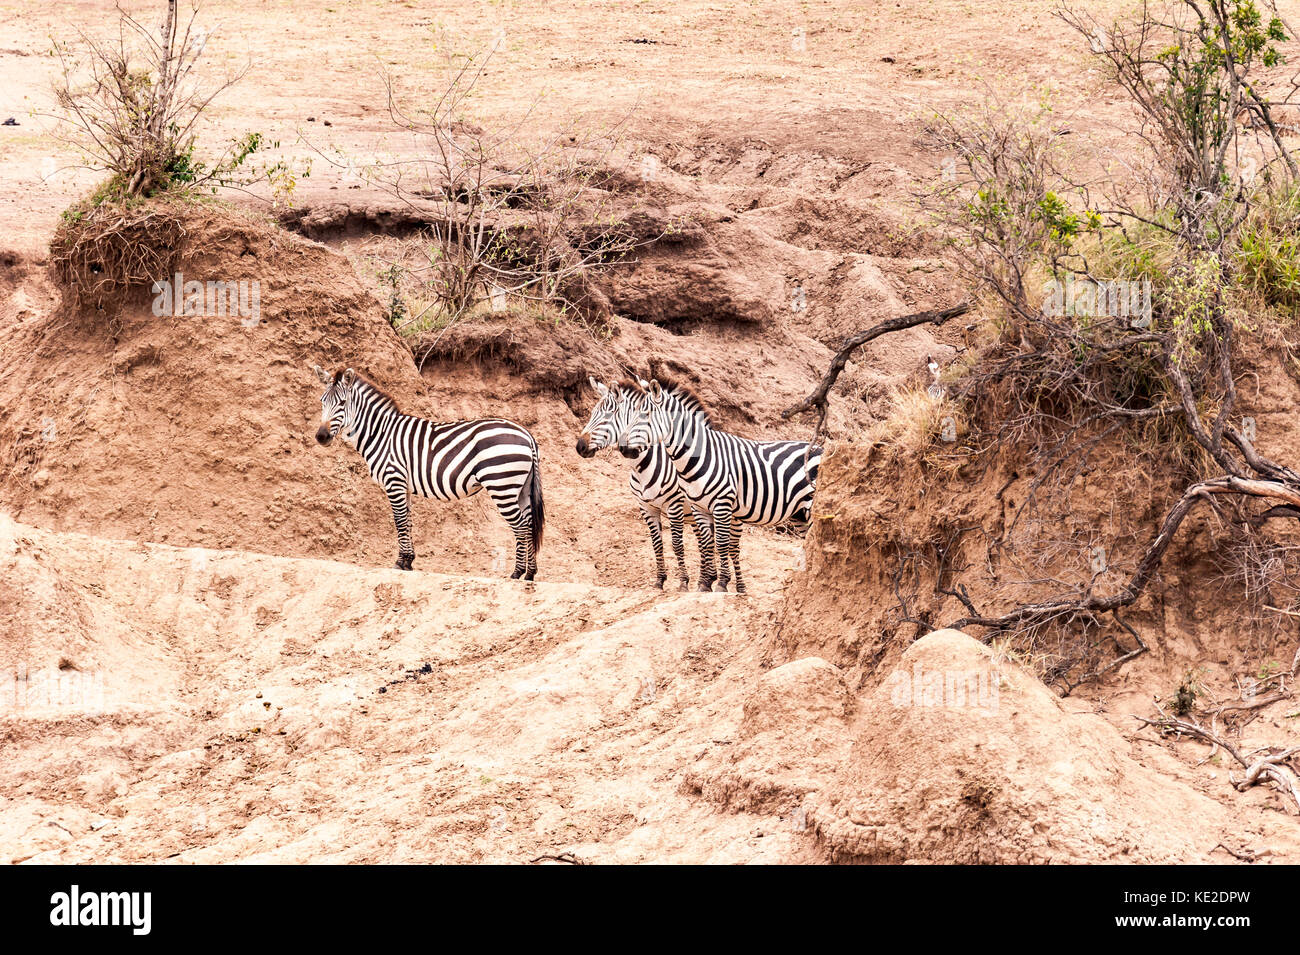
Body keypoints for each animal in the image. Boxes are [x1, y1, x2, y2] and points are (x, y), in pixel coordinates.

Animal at [314, 363, 543, 574]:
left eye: (342, 403)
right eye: (322, 401)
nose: (321, 437)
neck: (380, 433)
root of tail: (526, 433)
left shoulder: (393, 479)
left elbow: (399, 521)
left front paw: (400, 563)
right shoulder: (403, 485)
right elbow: (407, 521)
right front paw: (408, 561)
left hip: (501, 484)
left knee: (520, 525)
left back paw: (517, 573)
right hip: (521, 488)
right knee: (530, 523)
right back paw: (530, 574)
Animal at [579, 379, 722, 589]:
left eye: (608, 415)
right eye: (592, 413)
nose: (579, 446)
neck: (641, 467)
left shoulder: (674, 504)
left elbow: (676, 544)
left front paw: (683, 582)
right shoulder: (646, 506)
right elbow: (656, 544)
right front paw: (659, 581)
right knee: (705, 542)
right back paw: (707, 578)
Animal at [613, 376, 816, 595]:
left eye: (646, 415)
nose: (623, 449)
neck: (699, 456)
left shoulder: (718, 504)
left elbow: (719, 544)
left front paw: (718, 584)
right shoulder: (696, 507)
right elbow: (705, 544)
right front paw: (704, 584)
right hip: (798, 514)